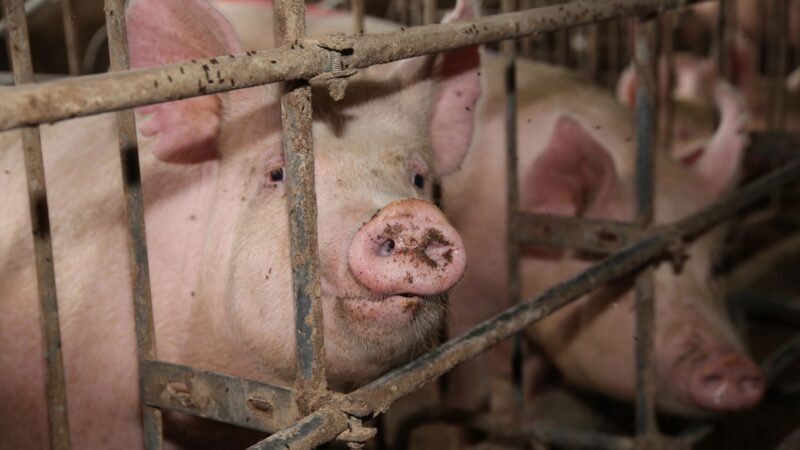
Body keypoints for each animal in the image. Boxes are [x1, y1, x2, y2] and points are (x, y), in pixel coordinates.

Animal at [444, 51, 764, 416]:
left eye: (718, 268)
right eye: (622, 277)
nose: (731, 365)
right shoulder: (468, 287)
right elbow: (469, 369)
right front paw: (468, 405)